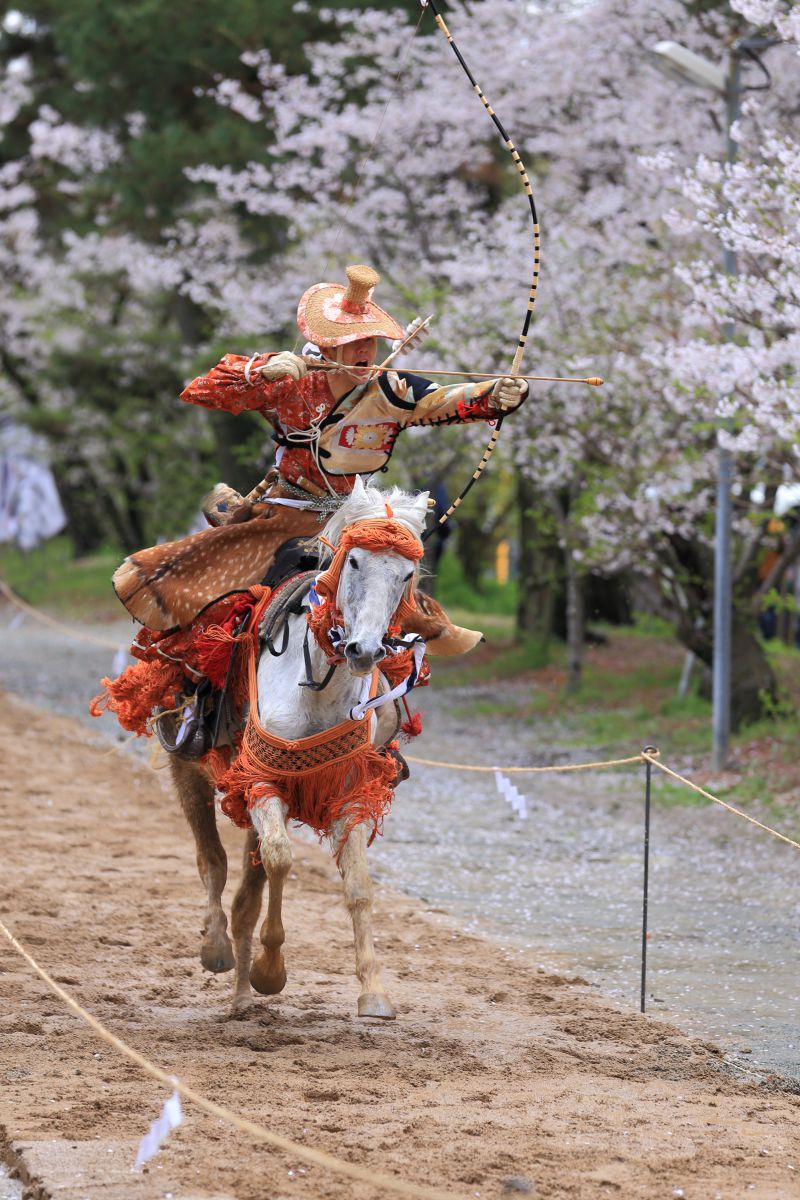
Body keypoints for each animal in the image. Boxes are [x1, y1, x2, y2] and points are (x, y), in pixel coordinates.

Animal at [170, 480, 431, 1022]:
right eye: (354, 562)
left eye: (406, 573)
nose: (365, 651)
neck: (318, 686)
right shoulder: (262, 780)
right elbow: (280, 859)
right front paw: (270, 970)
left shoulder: (349, 791)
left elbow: (357, 886)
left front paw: (373, 991)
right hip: (187, 767)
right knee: (212, 862)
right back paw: (216, 950)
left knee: (243, 893)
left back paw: (241, 998)